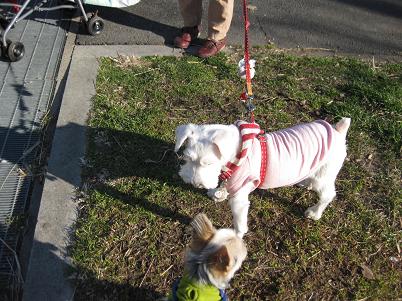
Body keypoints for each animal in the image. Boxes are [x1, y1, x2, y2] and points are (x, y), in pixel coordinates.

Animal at [174, 117, 350, 237]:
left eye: (209, 163)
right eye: (187, 158)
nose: (195, 183)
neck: (238, 153)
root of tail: (338, 131)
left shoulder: (239, 198)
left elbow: (239, 221)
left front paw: (236, 236)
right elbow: (222, 185)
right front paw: (217, 193)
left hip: (324, 176)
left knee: (328, 195)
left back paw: (315, 212)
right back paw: (306, 182)